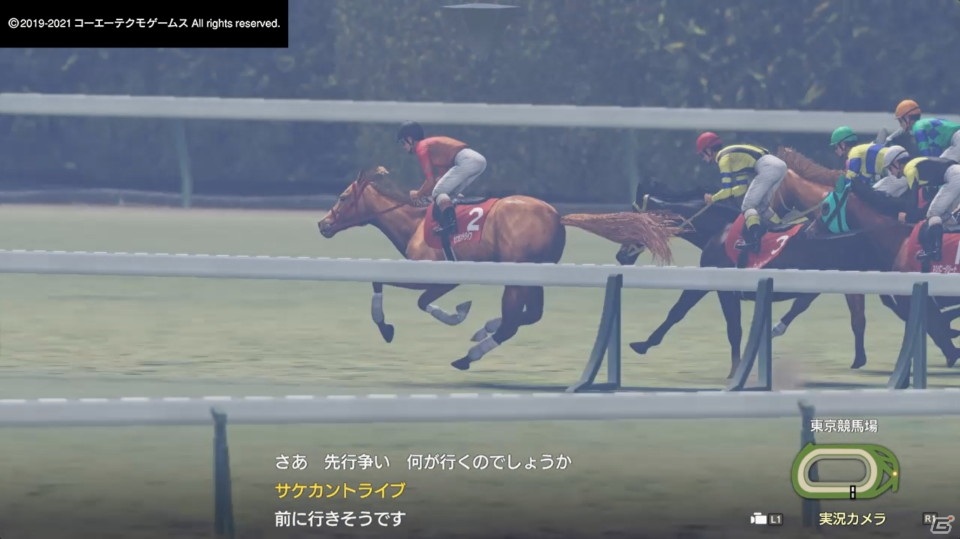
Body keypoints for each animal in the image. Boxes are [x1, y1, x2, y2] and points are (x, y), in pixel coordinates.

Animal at [317, 166, 681, 371]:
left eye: (343, 197)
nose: (323, 224)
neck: (416, 223)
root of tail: (557, 216)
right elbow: (404, 293)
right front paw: (462, 316)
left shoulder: (436, 275)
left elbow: (401, 291)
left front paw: (395, 325)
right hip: (534, 274)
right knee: (528, 316)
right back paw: (485, 330)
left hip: (516, 276)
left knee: (512, 323)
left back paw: (468, 356)